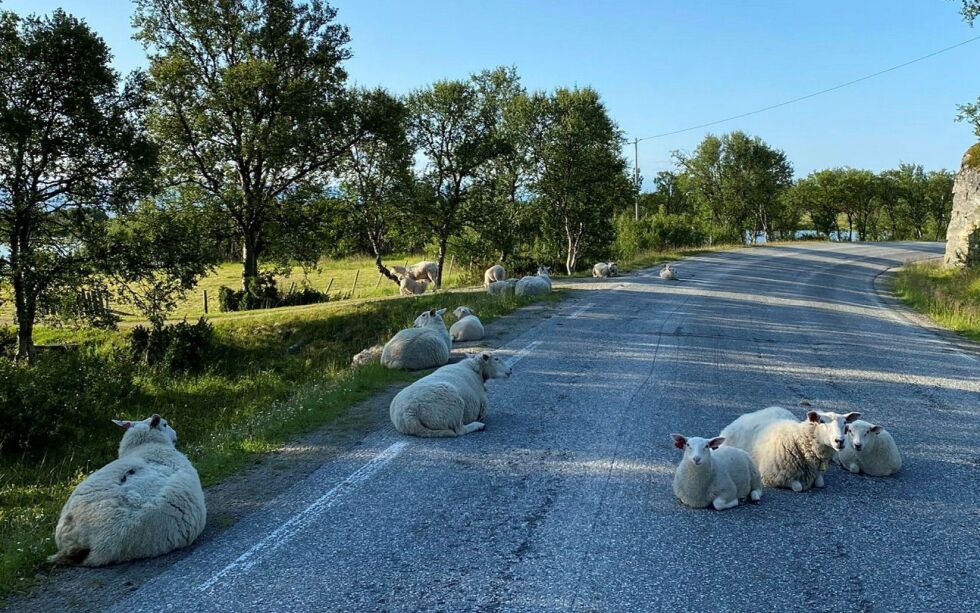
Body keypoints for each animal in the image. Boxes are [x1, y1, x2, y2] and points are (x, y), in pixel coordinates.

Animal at [716, 406, 860, 492]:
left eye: (845, 423)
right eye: (822, 421)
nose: (839, 441)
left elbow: (820, 483)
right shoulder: (771, 478)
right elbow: (798, 487)